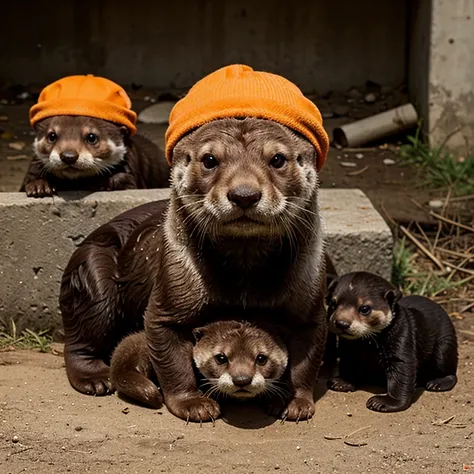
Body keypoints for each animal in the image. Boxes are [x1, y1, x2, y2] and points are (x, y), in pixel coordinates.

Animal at [60, 64, 330, 422]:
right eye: (210, 159)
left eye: (277, 159)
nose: (244, 194)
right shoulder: (171, 291)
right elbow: (172, 356)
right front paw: (192, 404)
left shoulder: (310, 295)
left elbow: (306, 360)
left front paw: (294, 402)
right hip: (91, 274)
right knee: (82, 333)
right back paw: (95, 378)